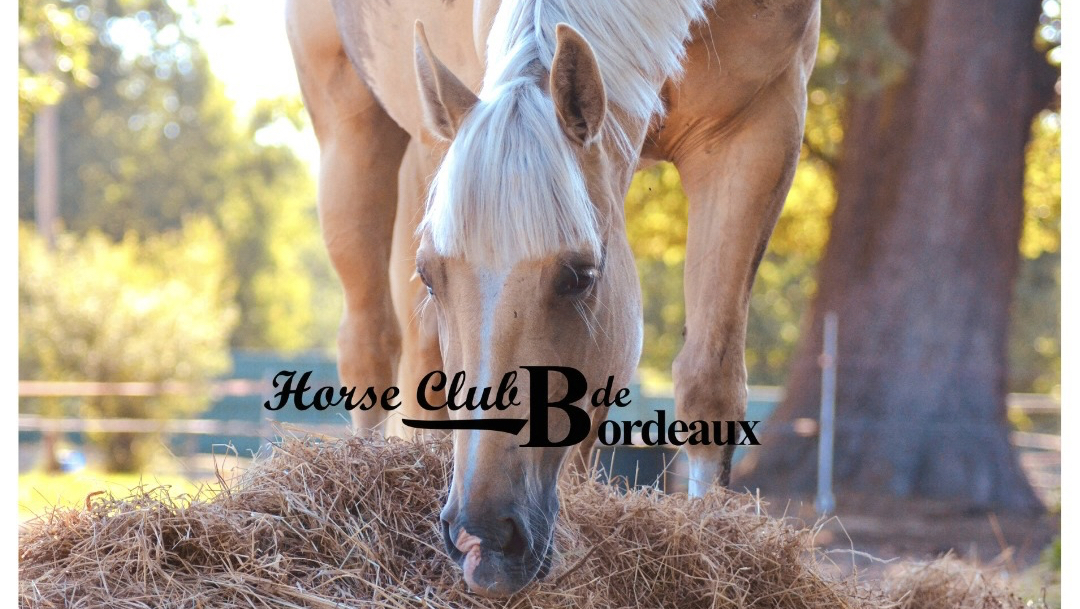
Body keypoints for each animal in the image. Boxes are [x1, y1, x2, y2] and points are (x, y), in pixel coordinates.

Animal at [286, 0, 819, 597]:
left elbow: (711, 381)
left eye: (581, 276)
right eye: (429, 277)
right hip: (350, 130)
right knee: (370, 344)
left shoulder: (761, 128)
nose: (482, 537)